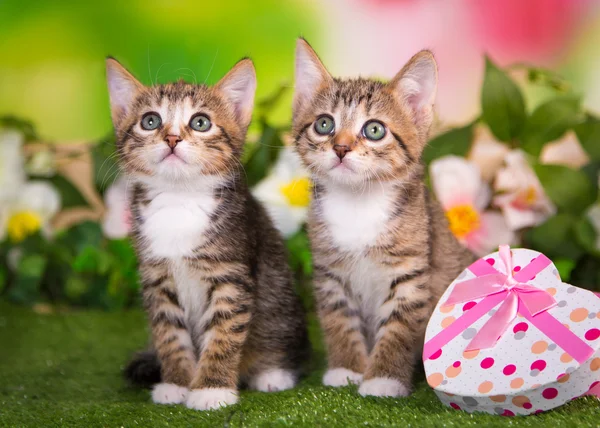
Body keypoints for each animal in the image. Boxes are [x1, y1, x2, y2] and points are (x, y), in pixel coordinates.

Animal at [105, 57, 308, 412]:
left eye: (200, 122)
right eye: (150, 121)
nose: (172, 138)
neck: (179, 199)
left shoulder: (231, 276)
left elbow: (224, 334)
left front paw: (211, 389)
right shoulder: (156, 278)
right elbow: (169, 334)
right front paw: (176, 383)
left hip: (282, 308)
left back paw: (273, 373)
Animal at [292, 40, 476, 398]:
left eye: (374, 130)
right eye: (324, 124)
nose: (341, 148)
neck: (358, 204)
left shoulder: (410, 271)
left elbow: (399, 327)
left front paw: (383, 379)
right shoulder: (329, 271)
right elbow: (338, 319)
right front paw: (347, 368)